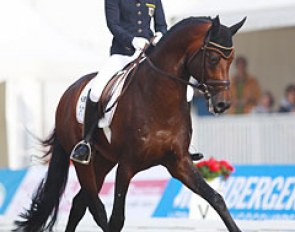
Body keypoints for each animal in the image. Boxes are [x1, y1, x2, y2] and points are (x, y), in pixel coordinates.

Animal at [15, 16, 247, 232]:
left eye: (231, 60)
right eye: (213, 58)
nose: (223, 104)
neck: (159, 97)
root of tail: (68, 93)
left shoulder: (179, 162)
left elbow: (216, 199)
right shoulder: (127, 165)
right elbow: (117, 218)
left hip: (104, 160)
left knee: (80, 203)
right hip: (84, 163)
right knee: (95, 207)